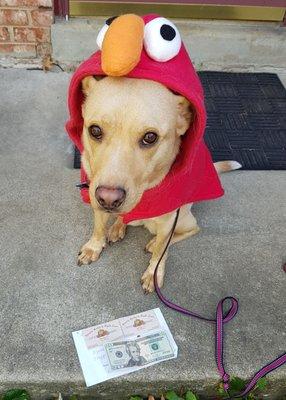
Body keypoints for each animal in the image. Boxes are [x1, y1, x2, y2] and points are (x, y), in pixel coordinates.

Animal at [77, 76, 240, 294]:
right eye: (95, 130)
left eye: (150, 137)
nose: (109, 199)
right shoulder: (95, 196)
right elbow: (98, 226)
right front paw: (94, 246)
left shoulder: (168, 221)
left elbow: (162, 250)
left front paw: (154, 273)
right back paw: (118, 226)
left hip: (182, 220)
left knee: (188, 232)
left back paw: (153, 242)